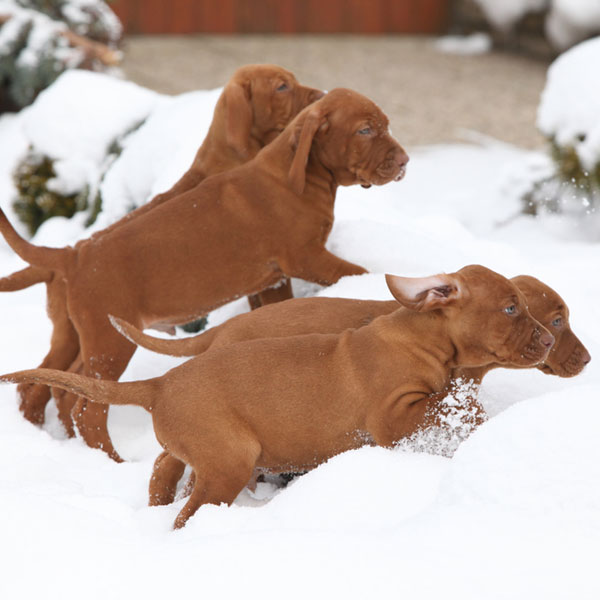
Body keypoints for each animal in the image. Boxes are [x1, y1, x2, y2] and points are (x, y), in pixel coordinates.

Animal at [3, 64, 324, 432]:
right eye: (282, 87)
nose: (321, 96)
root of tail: (70, 253)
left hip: (69, 336)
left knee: (43, 384)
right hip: (100, 339)